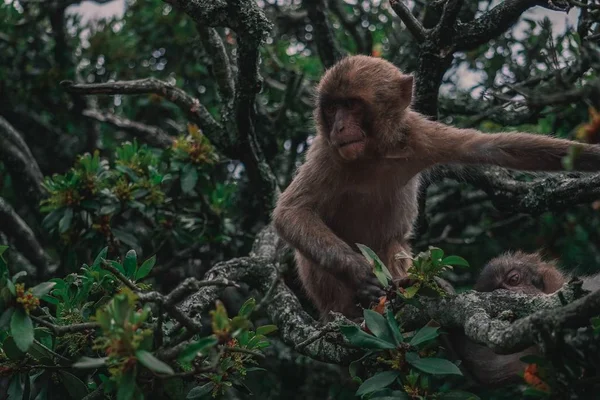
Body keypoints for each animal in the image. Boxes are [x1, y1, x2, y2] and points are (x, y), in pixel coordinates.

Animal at [274, 54, 600, 320]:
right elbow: (291, 212)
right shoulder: (327, 154)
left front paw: (592, 156)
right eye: (331, 108)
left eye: (351, 105)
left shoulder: (418, 136)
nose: (339, 127)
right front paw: (358, 271)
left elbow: (493, 148)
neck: (372, 155)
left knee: (394, 245)